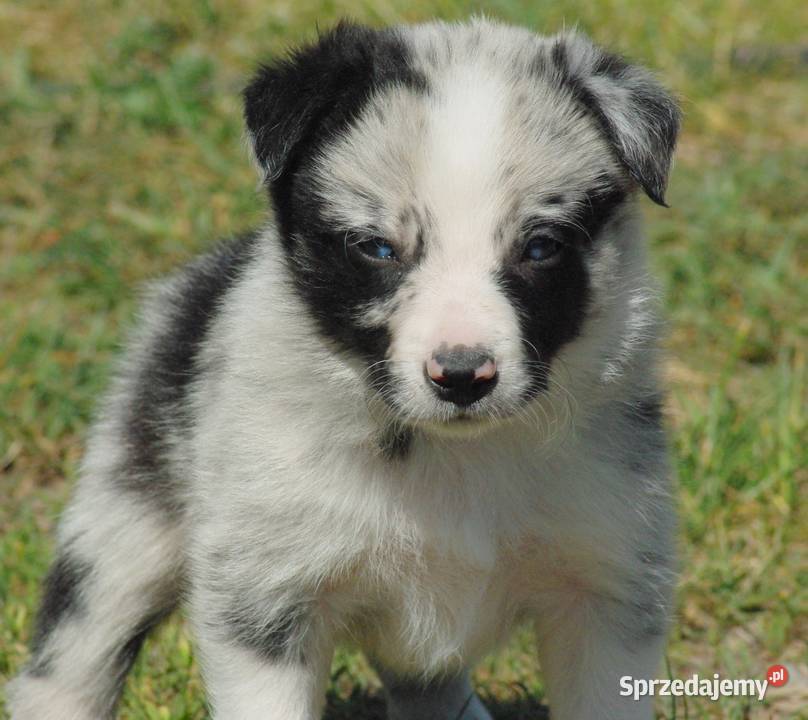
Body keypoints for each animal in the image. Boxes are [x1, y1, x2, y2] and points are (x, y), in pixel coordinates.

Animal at [9, 16, 680, 720]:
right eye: (378, 249)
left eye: (541, 247)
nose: (462, 375)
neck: (453, 459)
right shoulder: (265, 598)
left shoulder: (608, 588)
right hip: (122, 520)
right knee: (76, 648)